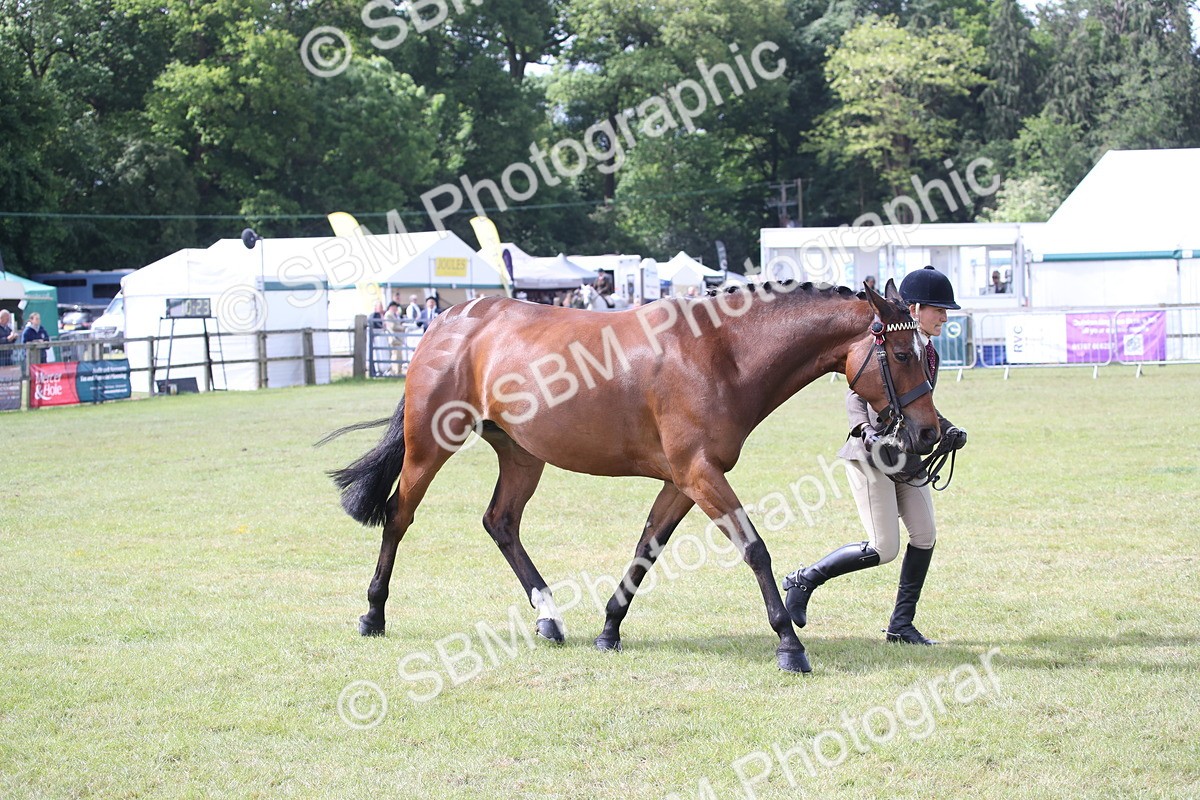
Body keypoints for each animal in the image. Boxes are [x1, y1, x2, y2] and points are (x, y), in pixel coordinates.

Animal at [326, 279, 941, 674]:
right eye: (904, 354)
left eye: (928, 352)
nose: (931, 432)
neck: (720, 353)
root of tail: (451, 318)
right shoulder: (700, 475)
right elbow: (755, 549)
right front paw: (790, 645)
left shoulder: (681, 482)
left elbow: (647, 549)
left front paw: (609, 630)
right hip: (429, 445)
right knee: (399, 517)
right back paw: (373, 613)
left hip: (522, 455)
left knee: (500, 522)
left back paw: (549, 619)